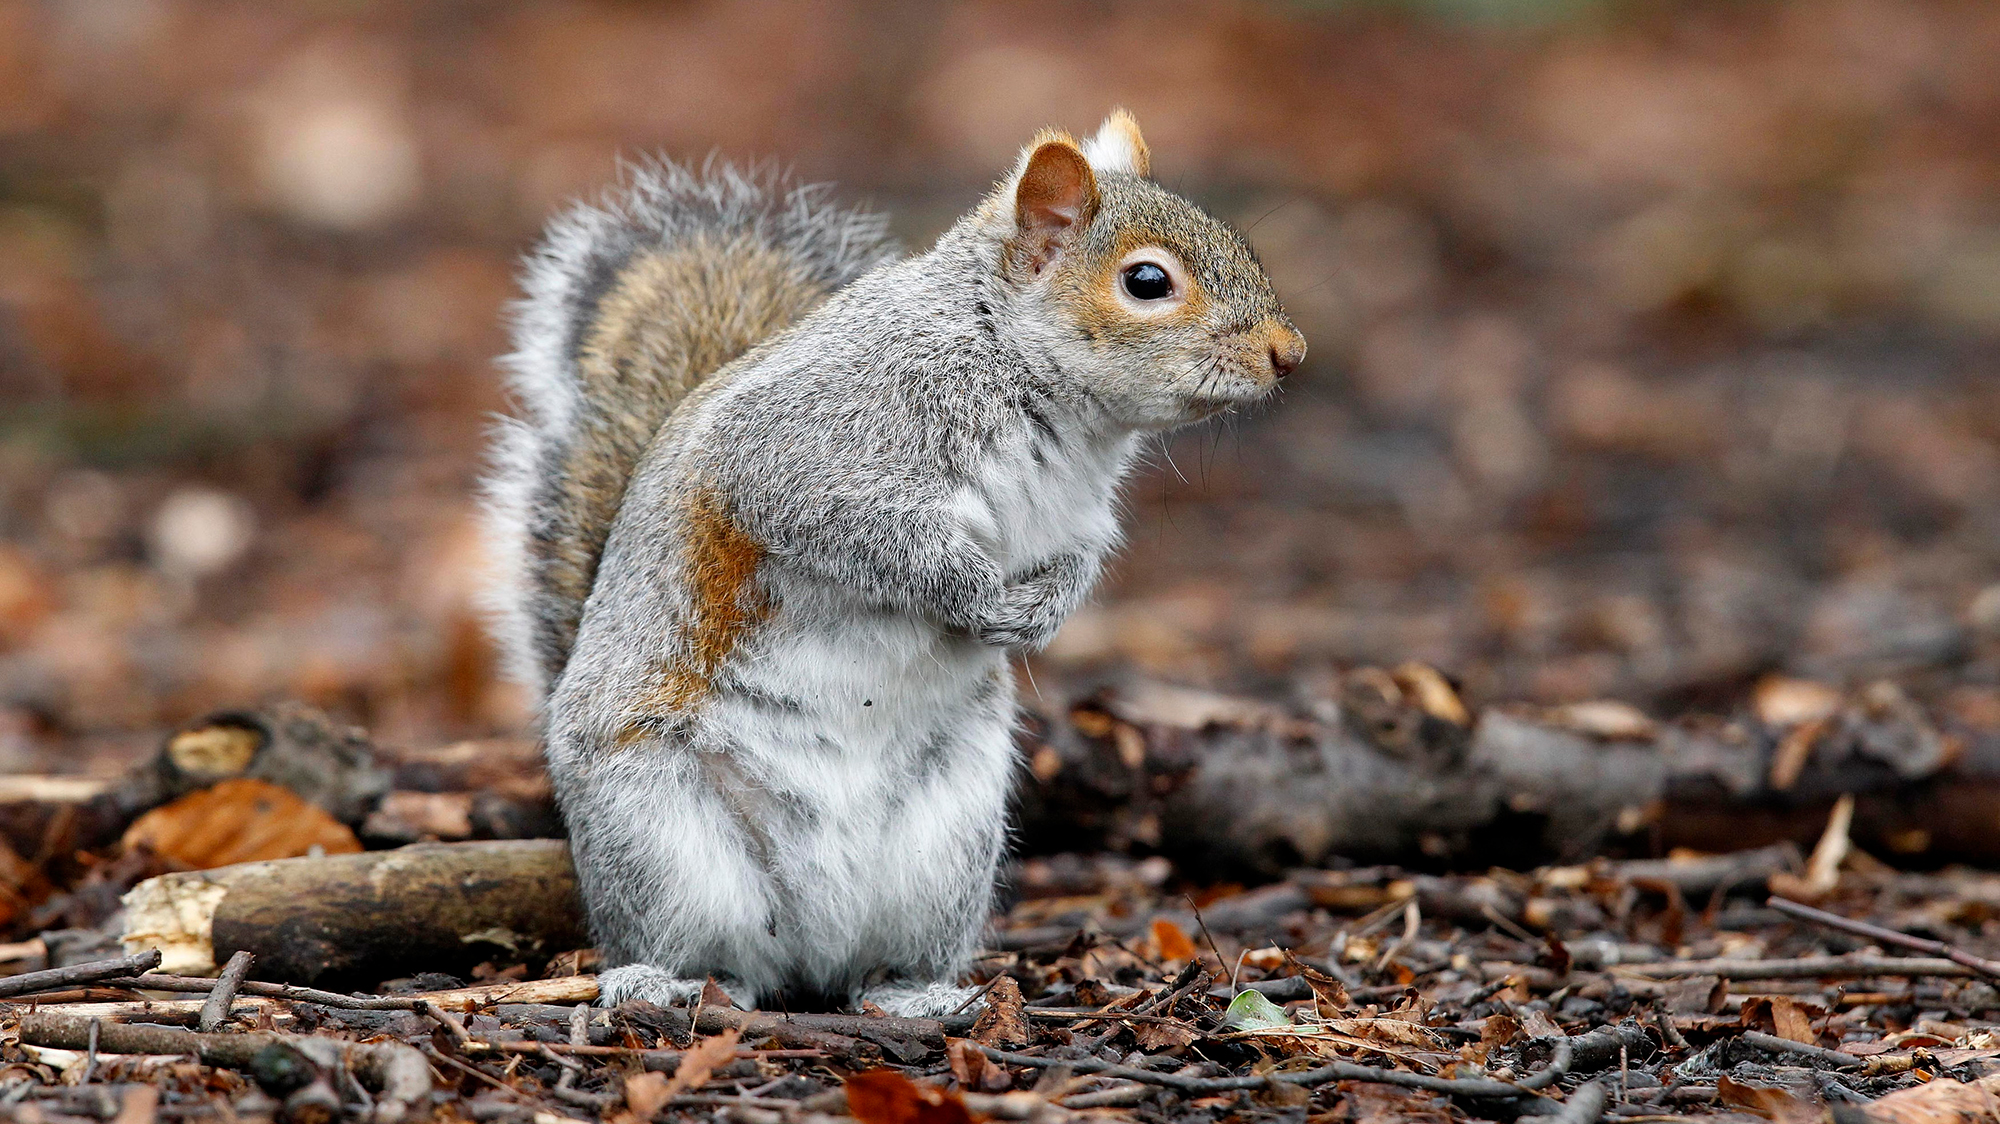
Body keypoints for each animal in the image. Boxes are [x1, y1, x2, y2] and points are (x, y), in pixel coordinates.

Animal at [480, 114, 1296, 1016]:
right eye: (1147, 281)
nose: (1289, 352)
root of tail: (812, 942)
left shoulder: (1078, 519)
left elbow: (1076, 565)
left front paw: (1040, 612)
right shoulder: (811, 447)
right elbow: (863, 531)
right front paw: (971, 594)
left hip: (947, 844)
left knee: (865, 967)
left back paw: (912, 995)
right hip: (661, 835)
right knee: (708, 952)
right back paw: (662, 983)